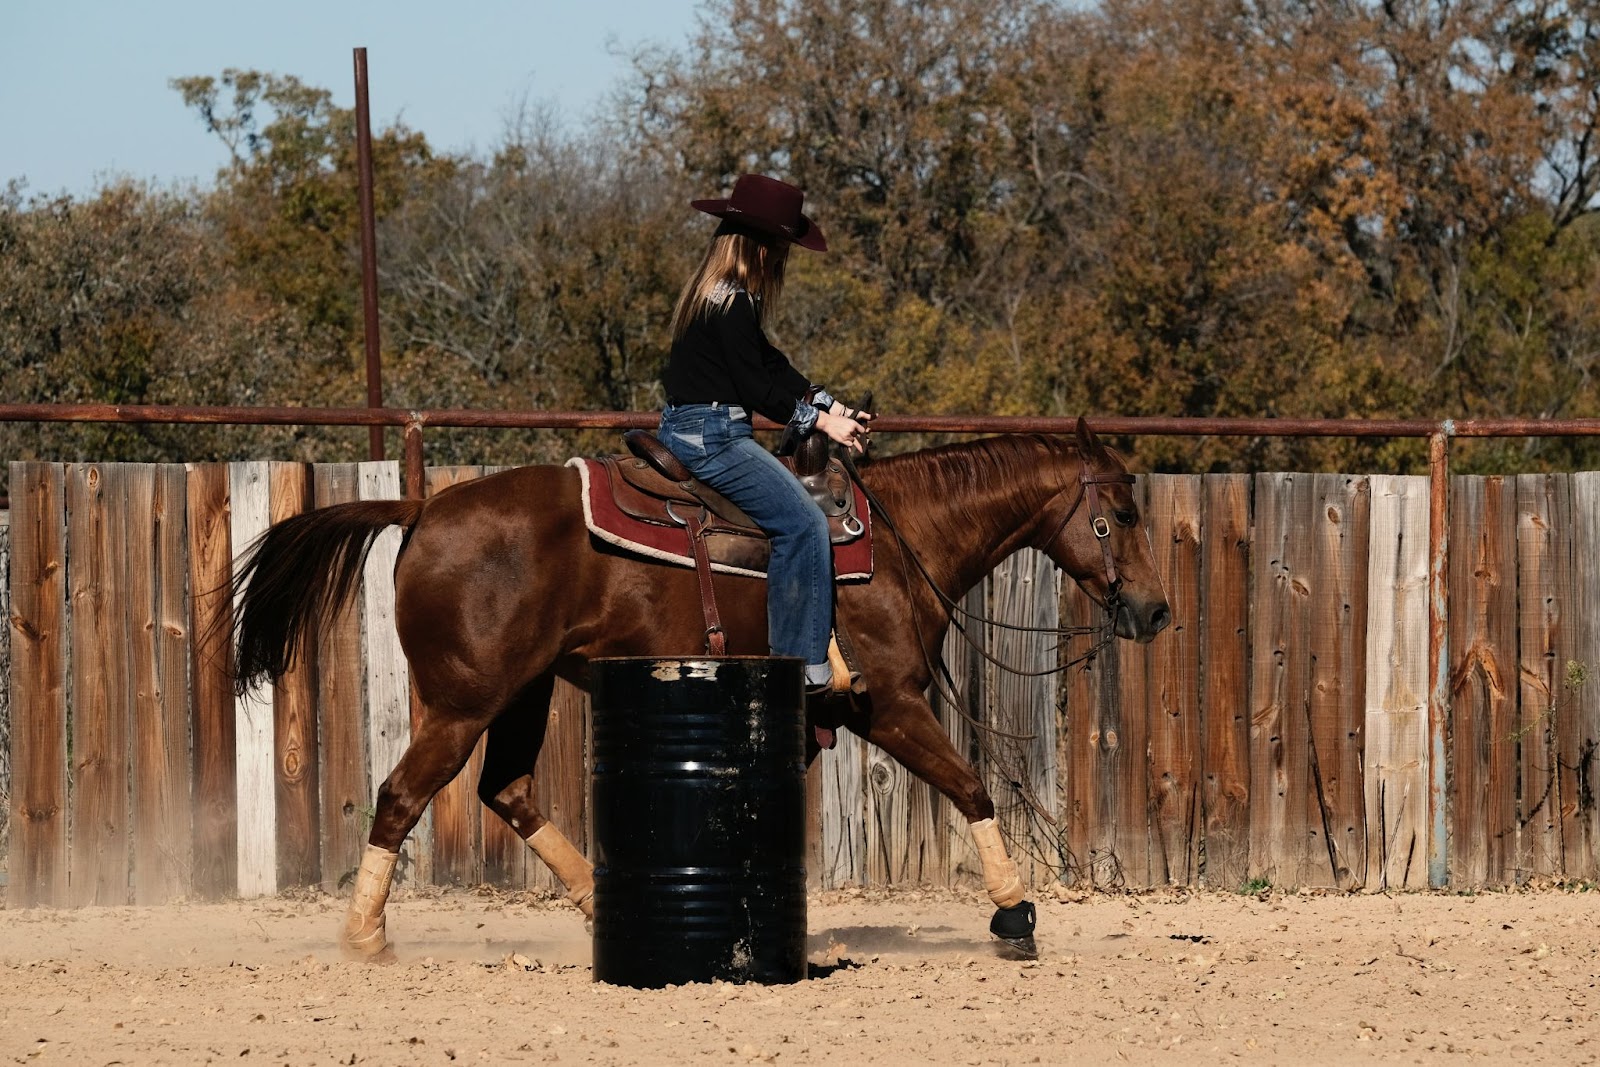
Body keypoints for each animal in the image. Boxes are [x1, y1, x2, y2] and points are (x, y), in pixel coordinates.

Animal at [232, 415, 1171, 959]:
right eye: (1122, 514)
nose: (1155, 608)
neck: (902, 542)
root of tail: (423, 510)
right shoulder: (892, 703)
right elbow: (971, 785)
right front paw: (1016, 915)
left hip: (522, 693)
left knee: (507, 789)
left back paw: (593, 903)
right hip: (464, 703)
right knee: (400, 795)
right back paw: (365, 935)